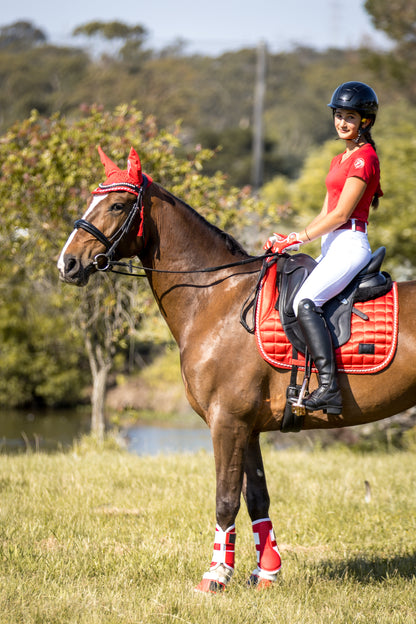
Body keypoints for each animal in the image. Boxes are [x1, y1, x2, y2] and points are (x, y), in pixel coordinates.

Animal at [57, 149, 416, 592]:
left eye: (118, 205)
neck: (217, 299)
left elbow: (225, 499)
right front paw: (266, 572)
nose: (67, 263)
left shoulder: (226, 422)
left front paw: (215, 576)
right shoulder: (247, 426)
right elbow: (256, 497)